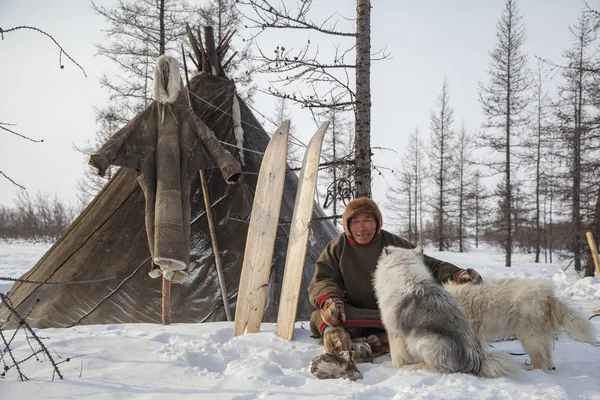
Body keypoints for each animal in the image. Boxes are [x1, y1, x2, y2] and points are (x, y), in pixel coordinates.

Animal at [372, 247, 516, 378]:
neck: (407, 277)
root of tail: (477, 363)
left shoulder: (394, 332)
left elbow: (397, 356)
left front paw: (395, 368)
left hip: (425, 342)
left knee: (434, 368)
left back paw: (413, 368)